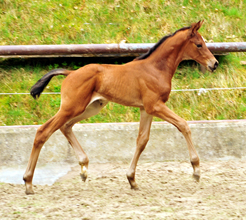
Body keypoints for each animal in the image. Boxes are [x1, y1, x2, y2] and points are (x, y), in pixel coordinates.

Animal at [23, 21, 219, 194]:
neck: (155, 69)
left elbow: (142, 140)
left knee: (66, 126)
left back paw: (84, 168)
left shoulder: (146, 109)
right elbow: (183, 125)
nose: (214, 64)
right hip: (71, 108)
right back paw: (28, 182)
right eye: (199, 44)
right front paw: (196, 170)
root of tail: (70, 73)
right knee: (43, 131)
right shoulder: (155, 106)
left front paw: (132, 180)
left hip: (91, 107)